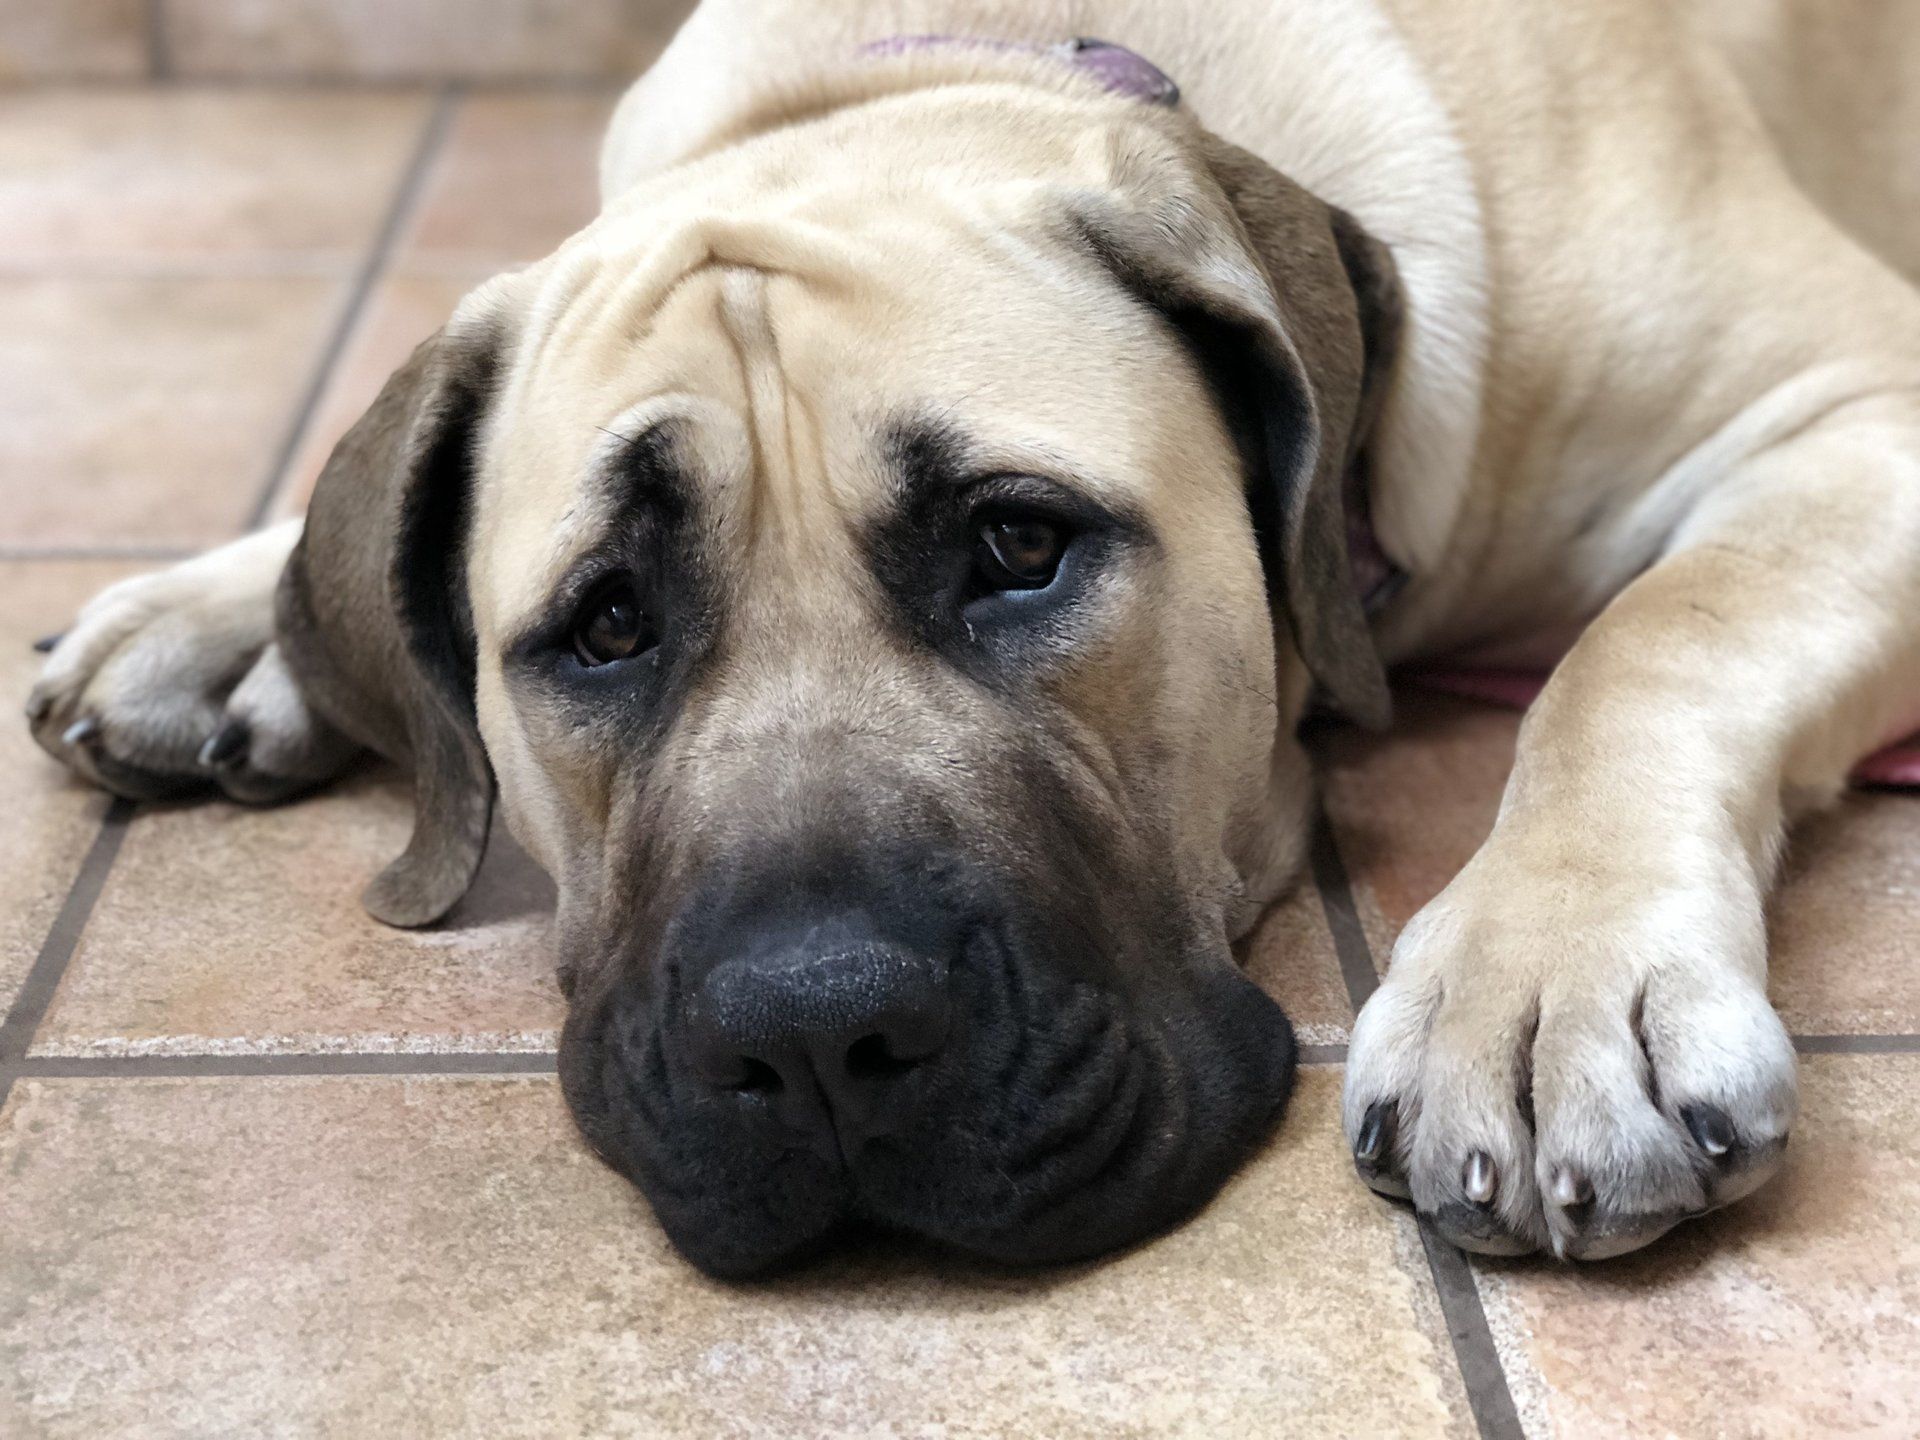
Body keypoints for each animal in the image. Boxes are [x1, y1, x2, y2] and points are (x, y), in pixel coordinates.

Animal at [22, 0, 1920, 1282]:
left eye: (1018, 546)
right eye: (603, 623)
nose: (811, 1042)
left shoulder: (1862, 403)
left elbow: (1656, 634)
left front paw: (1554, 979)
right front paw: (228, 612)